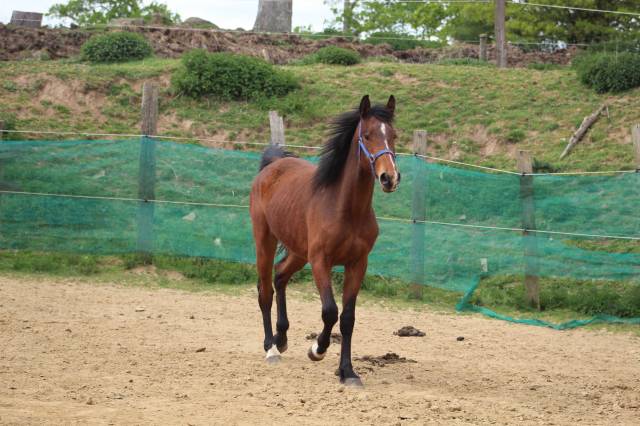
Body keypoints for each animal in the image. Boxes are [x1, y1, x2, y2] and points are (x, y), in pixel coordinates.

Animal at [249, 95, 400, 387]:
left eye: (393, 136)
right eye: (367, 135)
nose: (389, 178)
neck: (346, 209)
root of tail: (272, 166)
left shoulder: (357, 264)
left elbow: (348, 318)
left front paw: (348, 372)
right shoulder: (321, 261)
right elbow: (330, 310)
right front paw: (317, 349)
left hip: (298, 251)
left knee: (280, 276)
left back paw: (281, 339)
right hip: (265, 241)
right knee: (265, 291)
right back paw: (271, 348)